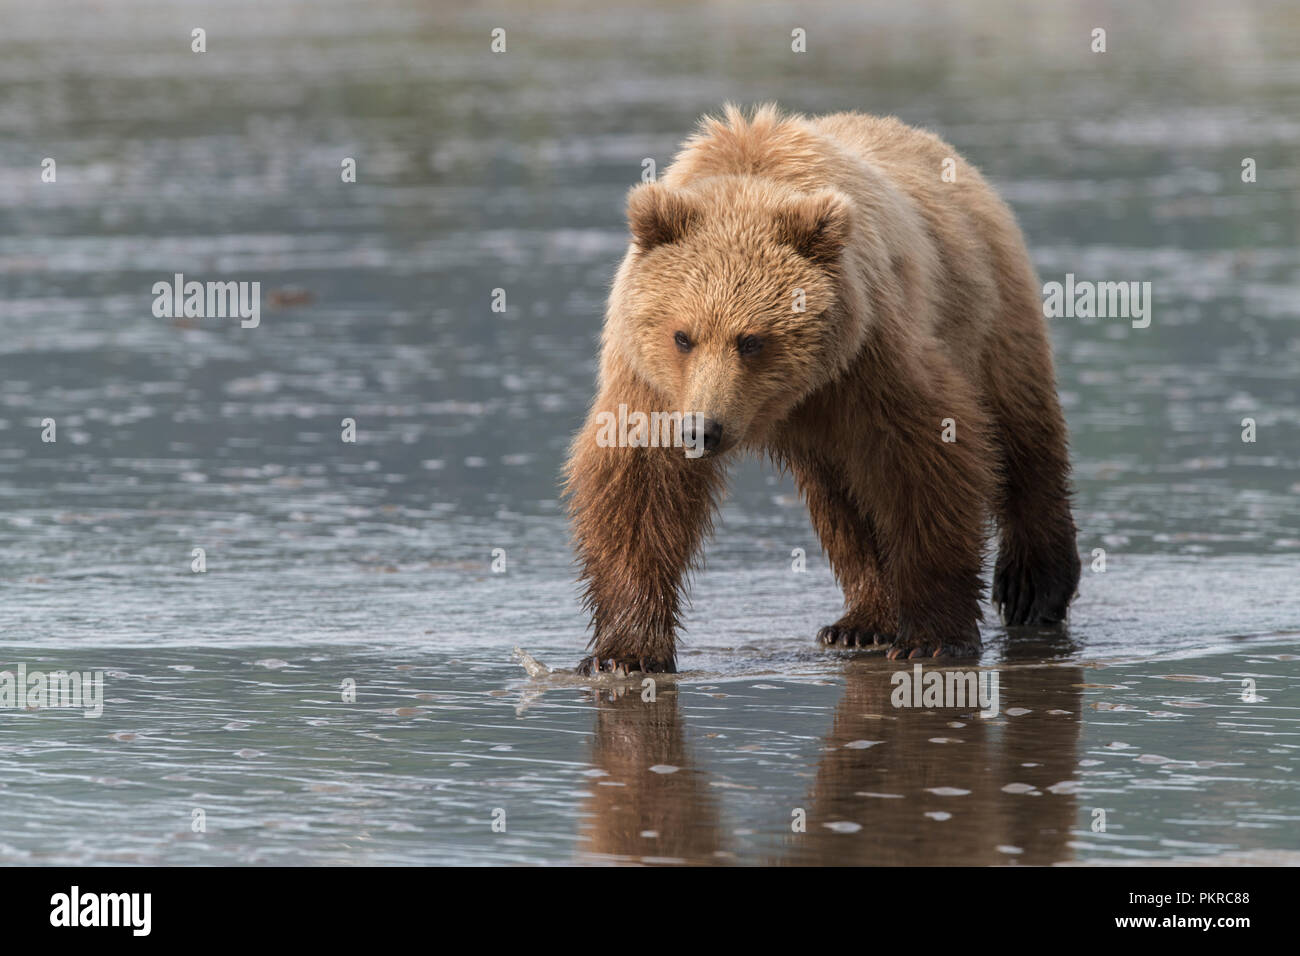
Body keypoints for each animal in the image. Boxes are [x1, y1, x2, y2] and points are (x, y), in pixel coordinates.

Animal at [564, 102, 1081, 671]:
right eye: (683, 336)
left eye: (751, 340)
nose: (704, 430)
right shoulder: (652, 382)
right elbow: (639, 484)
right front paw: (625, 652)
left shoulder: (869, 348)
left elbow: (925, 461)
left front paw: (932, 636)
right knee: (843, 501)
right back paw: (862, 621)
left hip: (988, 315)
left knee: (1020, 436)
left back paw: (1034, 587)